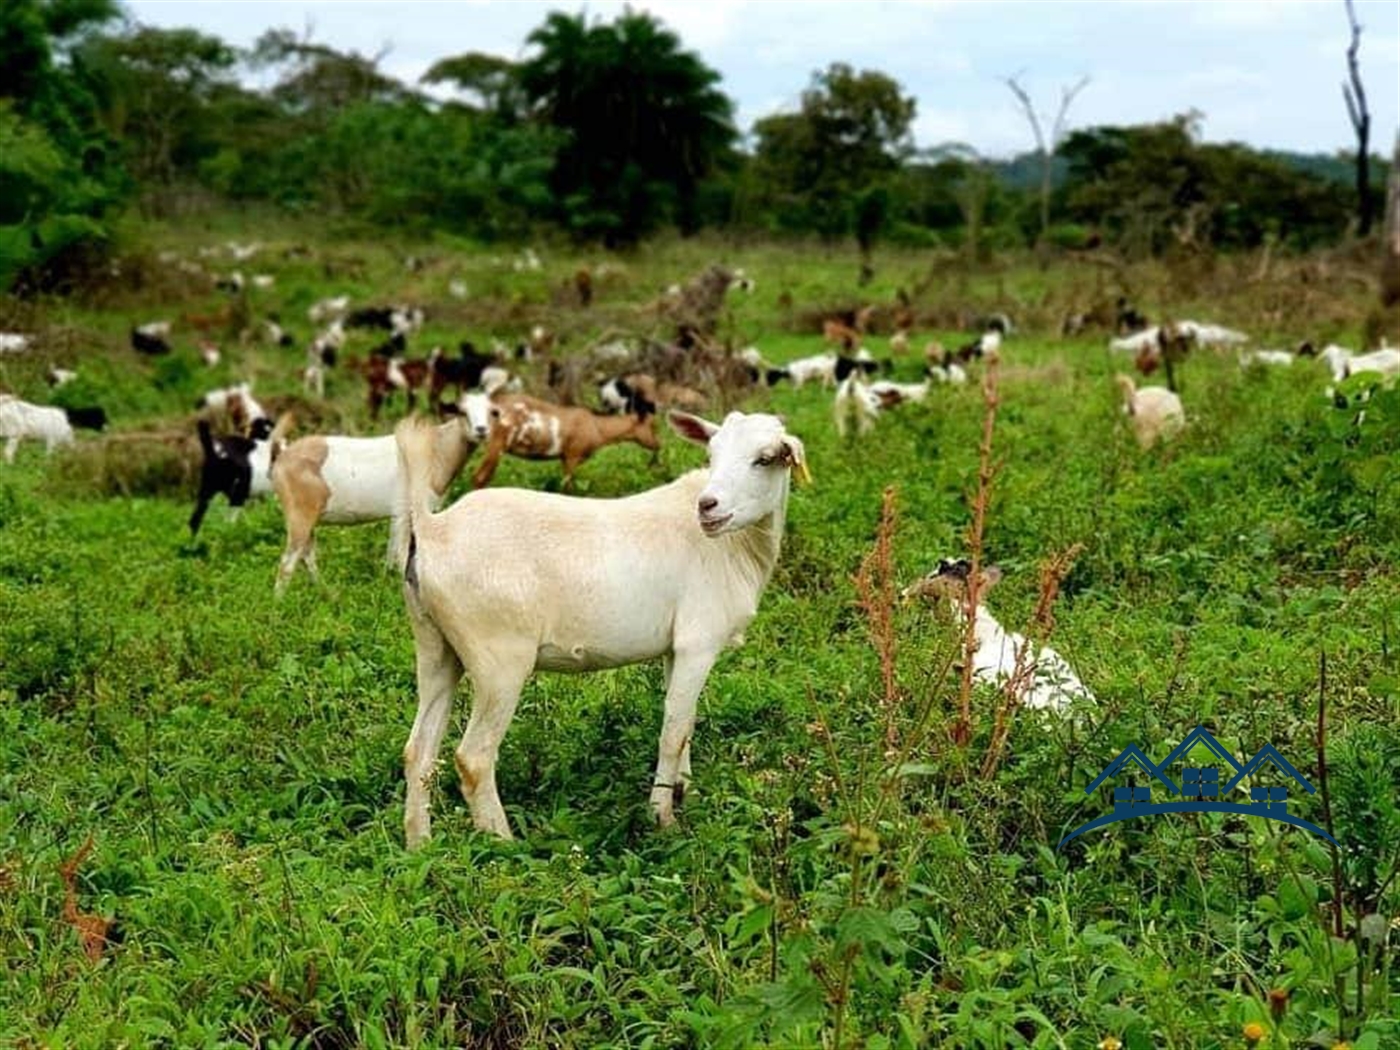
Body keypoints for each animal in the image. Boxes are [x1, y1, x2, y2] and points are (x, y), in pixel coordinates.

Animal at [268, 397, 492, 596]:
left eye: (492, 411)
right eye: (462, 411)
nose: (481, 430)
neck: (436, 448)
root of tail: (282, 455)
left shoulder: (398, 514)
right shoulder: (410, 510)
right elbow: (405, 553)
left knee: (306, 556)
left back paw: (328, 595)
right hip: (300, 515)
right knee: (289, 561)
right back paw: (279, 604)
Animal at [392, 406, 812, 845]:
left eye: (765, 458)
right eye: (710, 454)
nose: (707, 507)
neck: (733, 547)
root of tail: (431, 529)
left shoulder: (676, 648)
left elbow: (687, 722)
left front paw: (686, 792)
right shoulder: (699, 641)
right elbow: (673, 731)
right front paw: (663, 819)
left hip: (436, 645)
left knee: (418, 751)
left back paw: (420, 845)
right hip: (498, 657)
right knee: (473, 758)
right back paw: (504, 844)